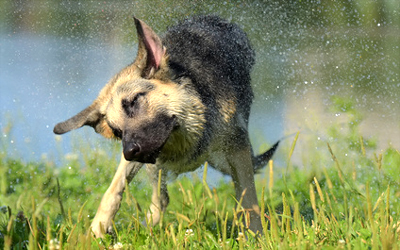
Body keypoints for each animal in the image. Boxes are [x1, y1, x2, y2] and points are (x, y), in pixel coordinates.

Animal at [53, 14, 278, 237]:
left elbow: (249, 200)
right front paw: (97, 228)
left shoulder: (238, 150)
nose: (129, 151)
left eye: (134, 101)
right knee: (161, 199)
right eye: (117, 131)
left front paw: (256, 236)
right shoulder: (144, 153)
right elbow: (114, 189)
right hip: (154, 165)